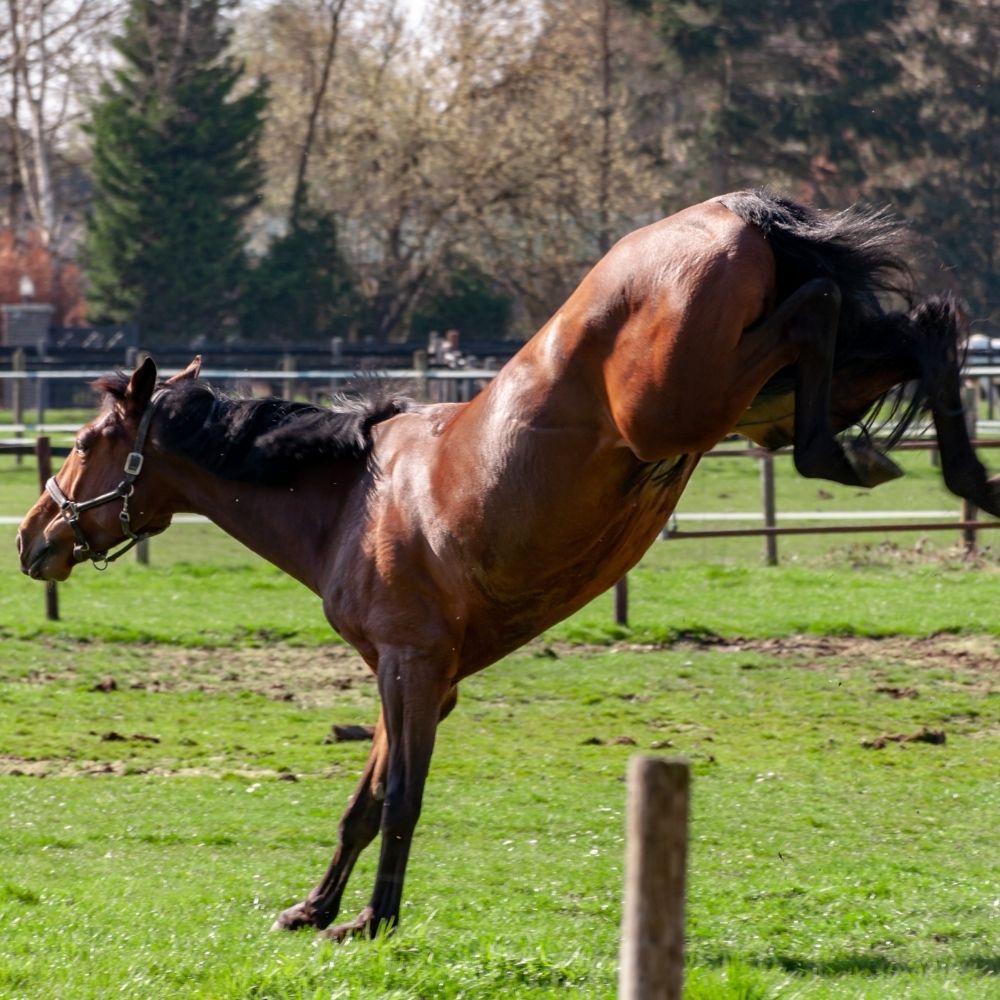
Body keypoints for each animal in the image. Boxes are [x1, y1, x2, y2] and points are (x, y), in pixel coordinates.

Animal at [15, 191, 1000, 940]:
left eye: (91, 441)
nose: (31, 538)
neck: (353, 498)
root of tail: (731, 211)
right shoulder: (421, 676)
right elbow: (364, 800)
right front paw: (314, 908)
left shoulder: (411, 669)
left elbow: (399, 797)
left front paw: (369, 922)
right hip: (774, 398)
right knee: (923, 328)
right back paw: (964, 476)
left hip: (690, 402)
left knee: (825, 310)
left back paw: (857, 458)